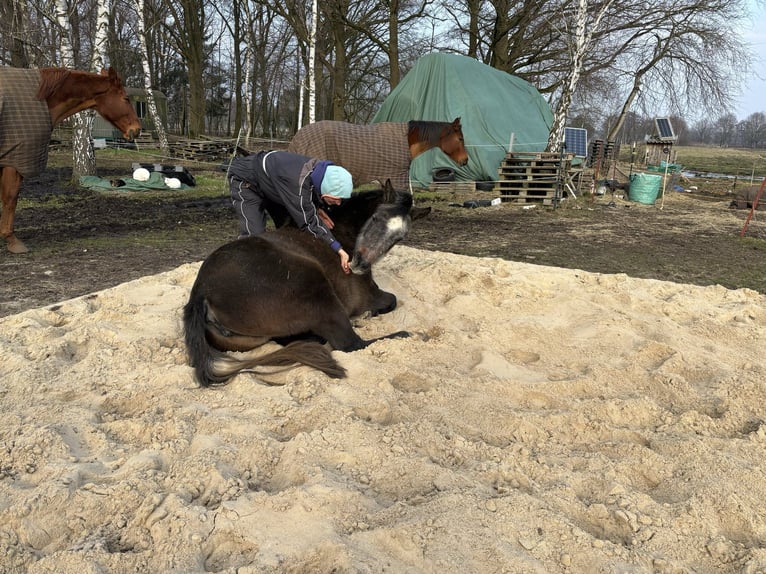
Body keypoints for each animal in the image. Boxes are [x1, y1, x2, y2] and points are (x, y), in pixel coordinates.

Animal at [0, 66, 142, 253]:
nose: (137, 129)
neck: (41, 98)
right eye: (126, 98)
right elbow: (10, 198)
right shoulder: (15, 161)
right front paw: (11, 240)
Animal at [182, 182, 432, 390]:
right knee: (350, 344)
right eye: (375, 219)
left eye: (399, 238)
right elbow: (391, 300)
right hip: (315, 287)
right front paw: (369, 315)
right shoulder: (368, 296)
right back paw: (407, 334)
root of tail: (201, 294)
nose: (358, 264)